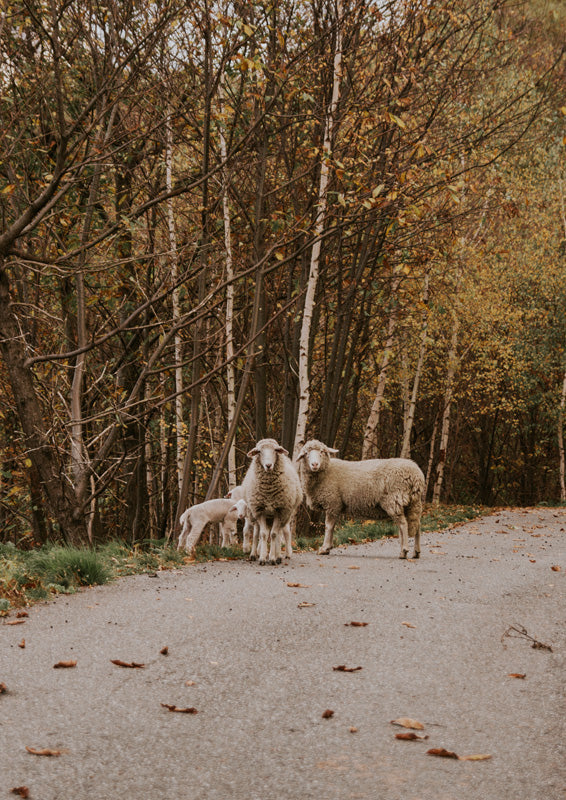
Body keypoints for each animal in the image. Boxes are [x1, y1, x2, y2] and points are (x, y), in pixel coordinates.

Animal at [296, 439, 425, 559]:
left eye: (322, 452)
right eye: (306, 453)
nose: (315, 464)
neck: (326, 471)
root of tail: (416, 475)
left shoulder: (333, 503)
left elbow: (328, 526)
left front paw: (324, 548)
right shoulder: (335, 506)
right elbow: (332, 526)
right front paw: (328, 547)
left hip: (394, 500)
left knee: (403, 524)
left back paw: (404, 551)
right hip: (413, 503)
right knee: (416, 525)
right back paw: (416, 552)